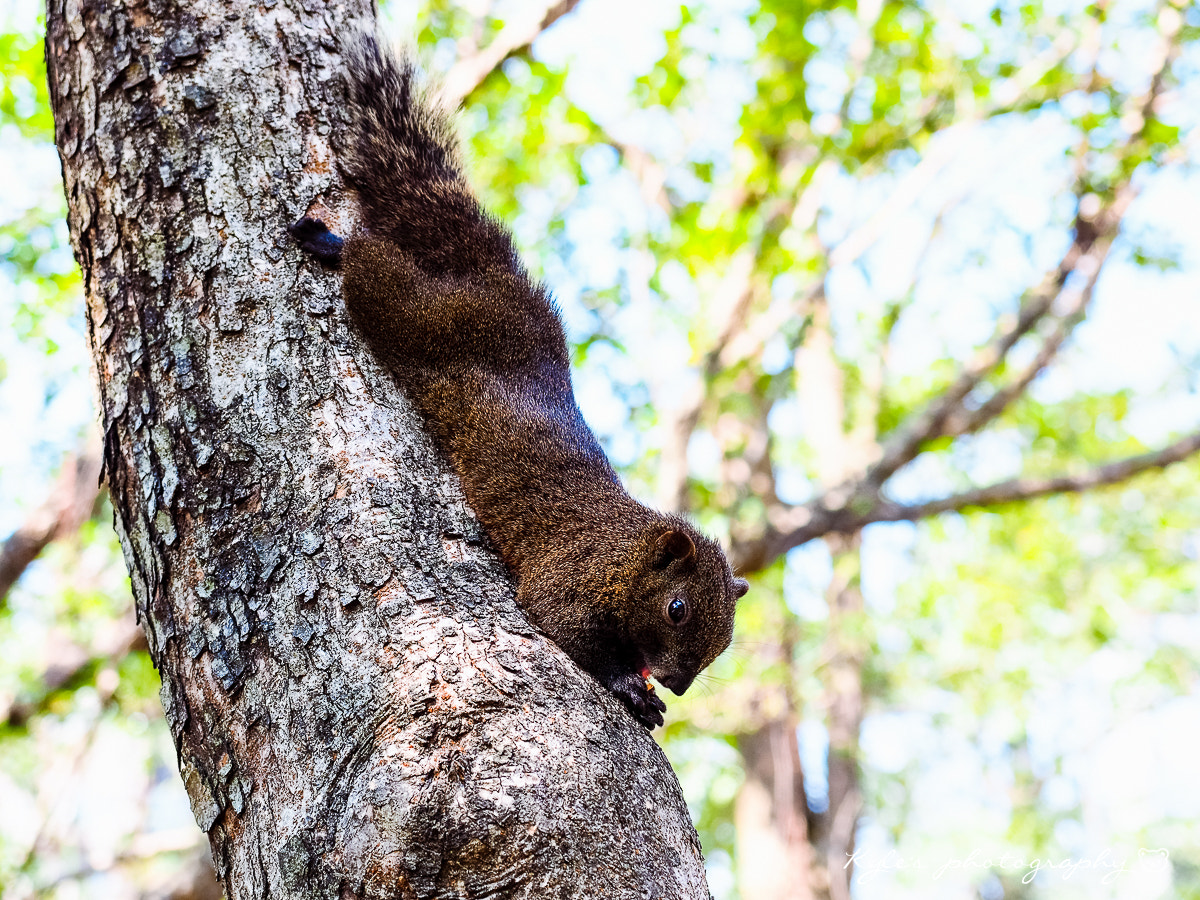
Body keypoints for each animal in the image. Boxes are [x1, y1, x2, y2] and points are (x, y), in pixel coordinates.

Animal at [286, 33, 744, 734]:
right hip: (416, 315)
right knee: (371, 262)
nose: (679, 683)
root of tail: (491, 272)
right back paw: (328, 239)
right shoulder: (566, 581)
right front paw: (632, 688)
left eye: (723, 644)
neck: (624, 552)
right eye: (677, 609)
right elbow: (567, 629)